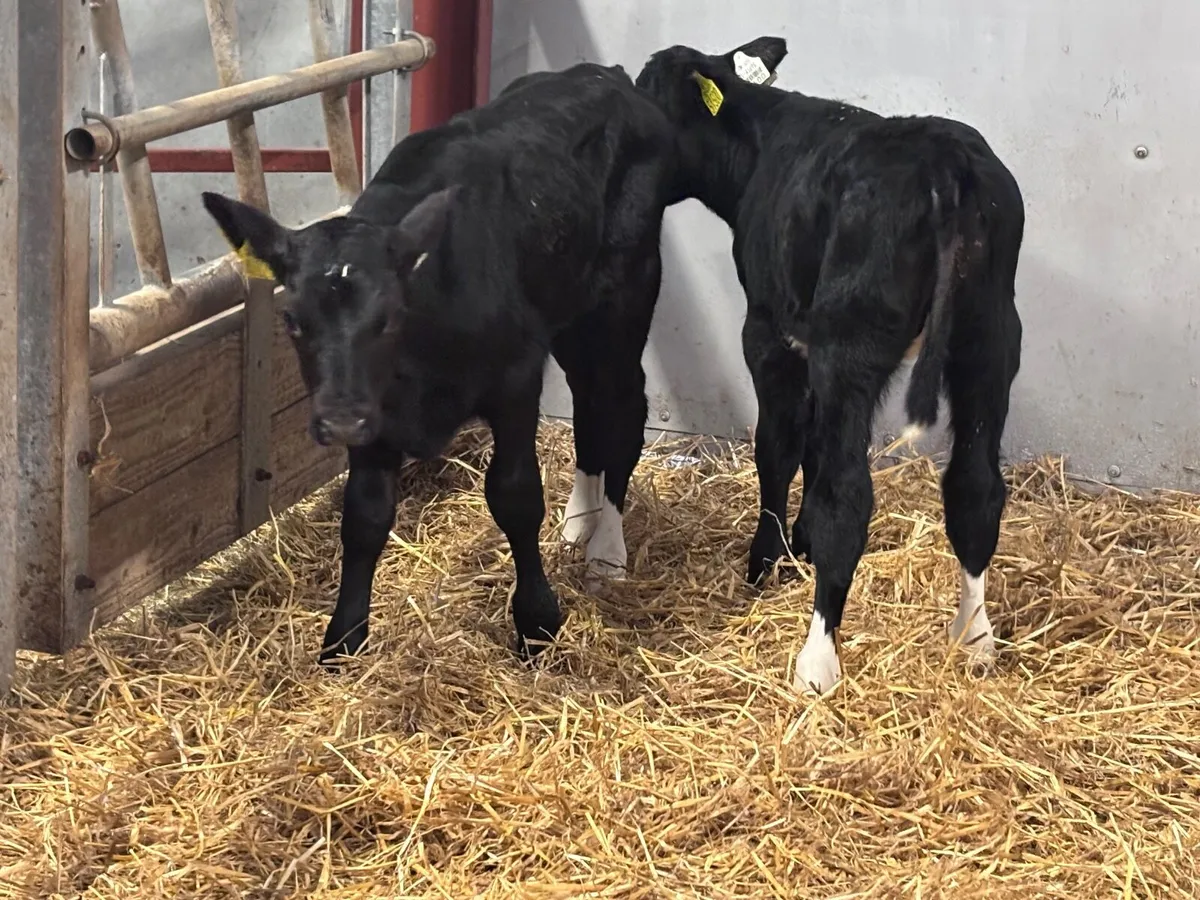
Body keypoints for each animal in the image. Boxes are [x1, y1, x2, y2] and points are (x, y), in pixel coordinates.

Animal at [201, 62, 677, 666]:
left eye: (389, 316)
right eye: (292, 319)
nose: (339, 421)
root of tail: (604, 74)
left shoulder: (516, 379)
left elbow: (515, 496)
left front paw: (537, 624)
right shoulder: (375, 413)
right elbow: (364, 516)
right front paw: (343, 639)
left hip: (625, 295)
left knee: (621, 406)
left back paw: (606, 551)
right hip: (570, 316)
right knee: (590, 406)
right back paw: (578, 523)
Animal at [635, 37, 1025, 693]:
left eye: (645, 93)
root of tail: (945, 160)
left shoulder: (770, 331)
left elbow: (779, 449)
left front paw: (769, 561)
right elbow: (814, 448)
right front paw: (801, 546)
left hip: (853, 343)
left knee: (849, 497)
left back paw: (817, 663)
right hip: (990, 342)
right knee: (975, 489)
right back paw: (974, 641)